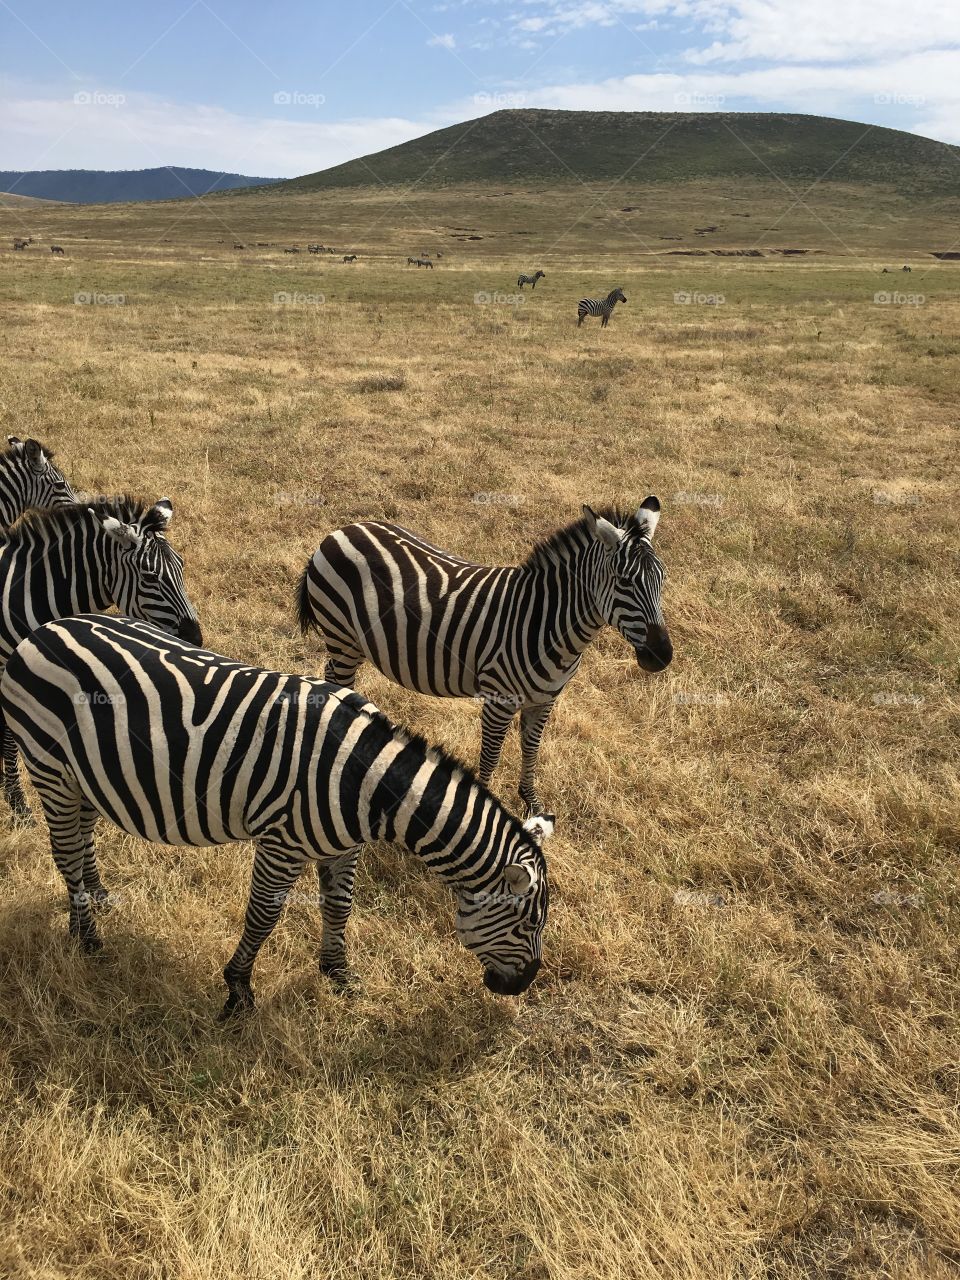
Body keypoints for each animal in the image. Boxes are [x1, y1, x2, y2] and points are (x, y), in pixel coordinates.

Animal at [0, 497, 201, 822]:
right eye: (149, 577)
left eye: (181, 566)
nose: (195, 638)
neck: (21, 595)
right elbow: (8, 735)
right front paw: (17, 802)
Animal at [1, 614, 553, 1014]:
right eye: (530, 924)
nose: (523, 986)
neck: (367, 784)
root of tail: (40, 631)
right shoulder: (281, 842)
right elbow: (264, 915)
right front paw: (238, 990)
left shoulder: (344, 845)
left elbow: (339, 906)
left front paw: (340, 976)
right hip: (49, 765)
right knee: (65, 850)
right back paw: (88, 938)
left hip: (87, 777)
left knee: (82, 838)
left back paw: (97, 901)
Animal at [297, 502, 671, 816]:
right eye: (623, 581)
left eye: (663, 579)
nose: (662, 656)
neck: (546, 622)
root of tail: (341, 531)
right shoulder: (498, 701)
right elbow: (490, 757)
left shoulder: (545, 700)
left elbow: (531, 750)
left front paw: (532, 802)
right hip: (342, 636)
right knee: (337, 678)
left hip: (352, 642)